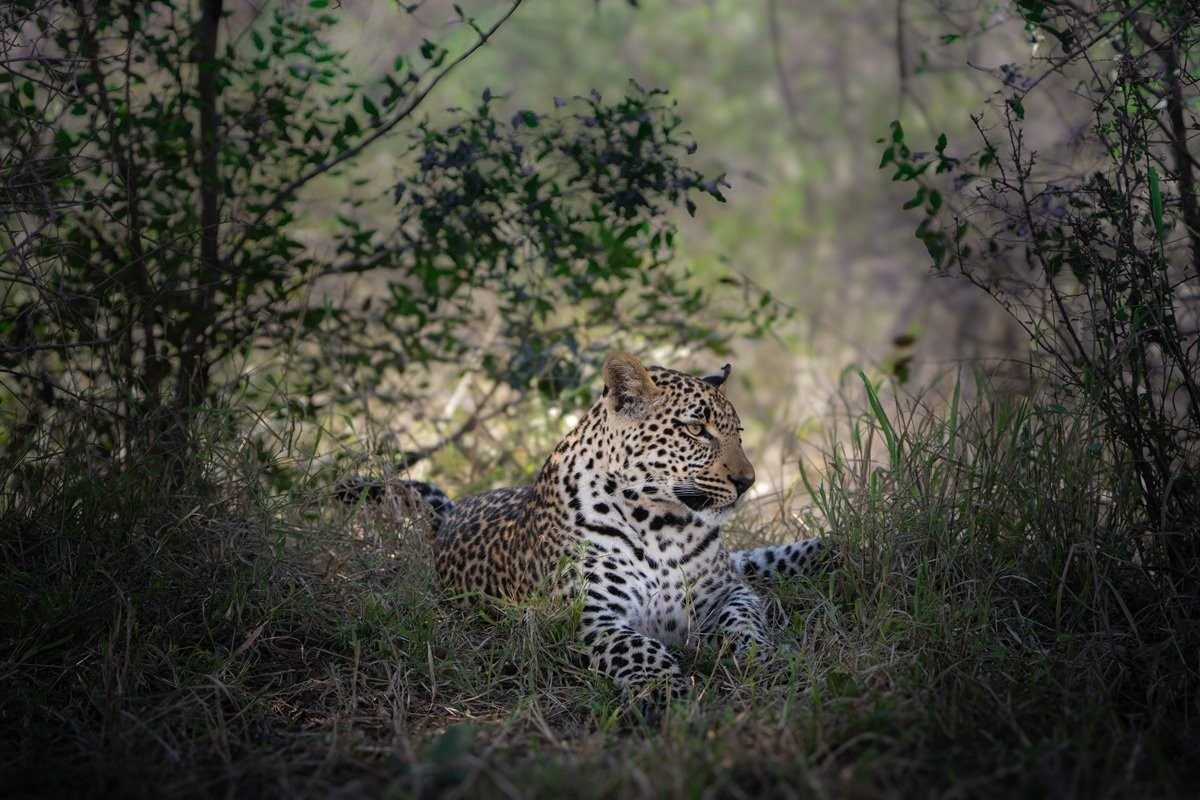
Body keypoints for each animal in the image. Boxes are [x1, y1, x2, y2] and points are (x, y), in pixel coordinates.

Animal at [341, 352, 825, 701]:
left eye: (737, 433)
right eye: (696, 430)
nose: (748, 481)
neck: (663, 525)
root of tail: (451, 512)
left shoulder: (727, 591)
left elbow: (745, 619)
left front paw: (762, 658)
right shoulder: (589, 614)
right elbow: (642, 648)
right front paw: (665, 692)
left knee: (754, 560)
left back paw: (825, 548)